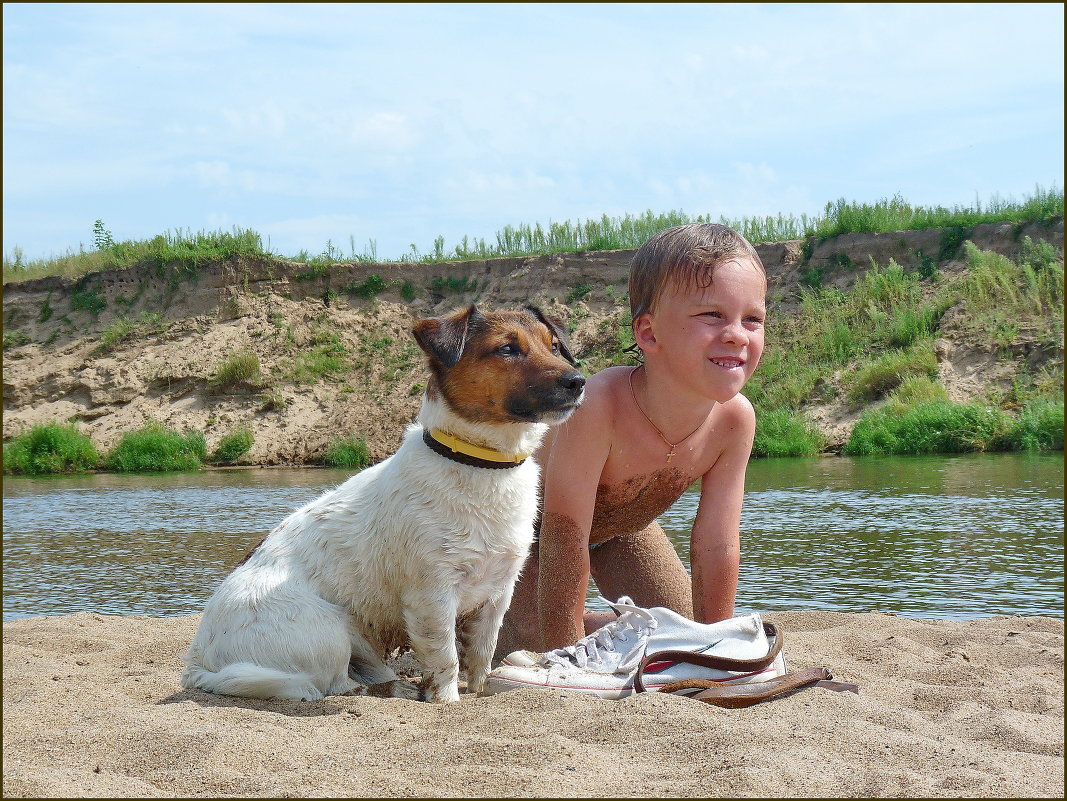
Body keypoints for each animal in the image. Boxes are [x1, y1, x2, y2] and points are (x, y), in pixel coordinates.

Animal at [183, 305, 584, 699]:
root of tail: (198, 661)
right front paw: (447, 700)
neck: (479, 464)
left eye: (553, 346)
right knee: (329, 683)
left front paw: (479, 693)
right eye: (507, 349)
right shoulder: (432, 595)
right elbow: (446, 660)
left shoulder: (498, 592)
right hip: (329, 630)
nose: (578, 381)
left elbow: (482, 656)